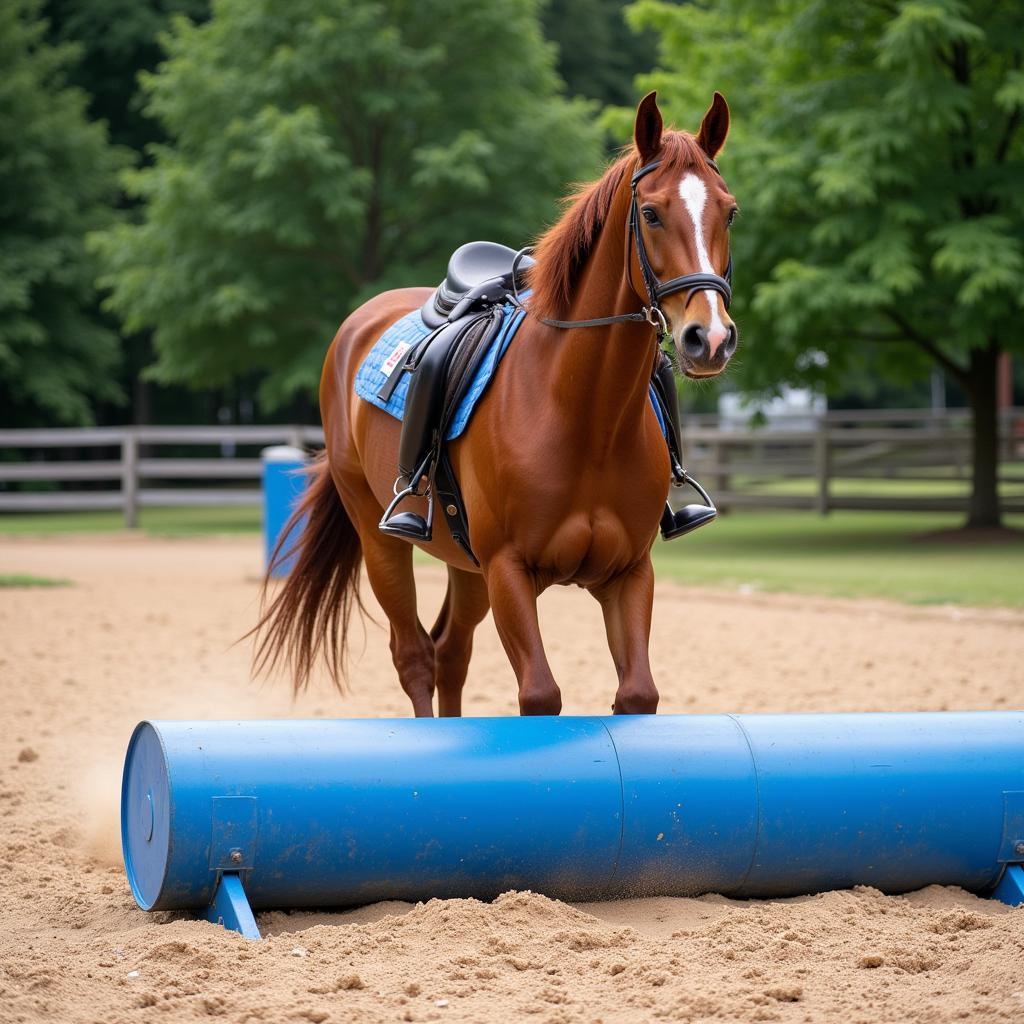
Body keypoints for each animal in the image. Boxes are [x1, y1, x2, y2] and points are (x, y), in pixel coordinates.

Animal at [253, 94, 737, 720]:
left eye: (729, 213)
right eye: (651, 214)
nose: (711, 338)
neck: (586, 416)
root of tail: (359, 323)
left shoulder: (629, 573)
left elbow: (637, 692)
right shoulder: (509, 571)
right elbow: (539, 694)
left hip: (467, 566)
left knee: (450, 651)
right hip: (381, 540)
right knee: (414, 655)